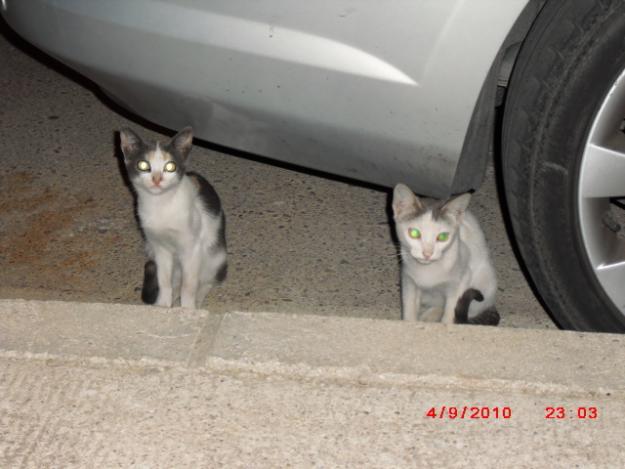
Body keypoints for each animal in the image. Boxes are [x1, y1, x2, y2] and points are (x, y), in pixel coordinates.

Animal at [119, 126, 227, 308]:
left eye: (170, 166)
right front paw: (163, 305)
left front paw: (188, 308)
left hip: (215, 257)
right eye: (143, 165)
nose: (156, 179)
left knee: (207, 280)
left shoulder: (192, 247)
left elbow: (189, 285)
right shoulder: (159, 247)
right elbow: (164, 280)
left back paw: (199, 296)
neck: (161, 205)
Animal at [392, 183, 500, 326]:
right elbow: (409, 306)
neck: (427, 270)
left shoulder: (463, 277)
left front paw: (446, 324)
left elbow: (451, 310)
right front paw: (409, 322)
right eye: (414, 233)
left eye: (442, 236)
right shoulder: (408, 278)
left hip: (486, 282)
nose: (427, 253)